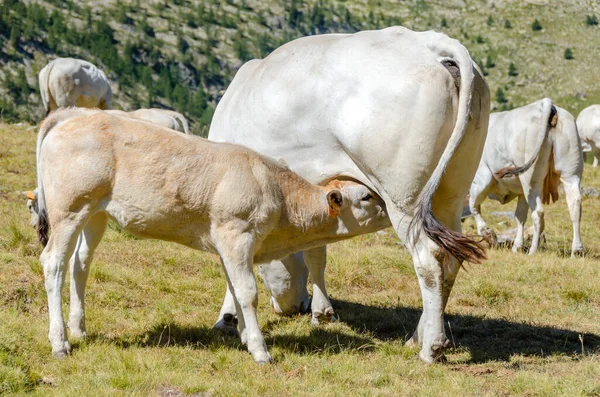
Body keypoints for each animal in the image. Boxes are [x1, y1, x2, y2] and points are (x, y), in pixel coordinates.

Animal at [34, 107, 390, 362]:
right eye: (366, 197)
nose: (389, 205)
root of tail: (75, 114)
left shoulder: (226, 244)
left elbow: (233, 287)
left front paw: (244, 335)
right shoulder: (236, 234)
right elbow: (247, 292)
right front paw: (259, 349)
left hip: (95, 213)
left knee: (80, 263)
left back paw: (79, 329)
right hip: (68, 209)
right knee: (54, 263)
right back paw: (60, 342)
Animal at [209, 26, 490, 364]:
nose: (294, 307)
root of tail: (430, 42)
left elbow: (230, 268)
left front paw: (227, 318)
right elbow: (317, 251)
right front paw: (321, 311)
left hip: (404, 198)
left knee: (430, 259)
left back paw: (431, 346)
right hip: (450, 194)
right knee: (451, 258)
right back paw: (416, 336)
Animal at [468, 97, 580, 255]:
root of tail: (545, 103)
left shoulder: (481, 179)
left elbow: (473, 206)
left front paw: (487, 232)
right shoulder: (521, 192)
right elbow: (520, 216)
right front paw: (517, 245)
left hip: (531, 179)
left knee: (538, 212)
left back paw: (533, 250)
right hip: (570, 172)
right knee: (575, 204)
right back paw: (577, 249)